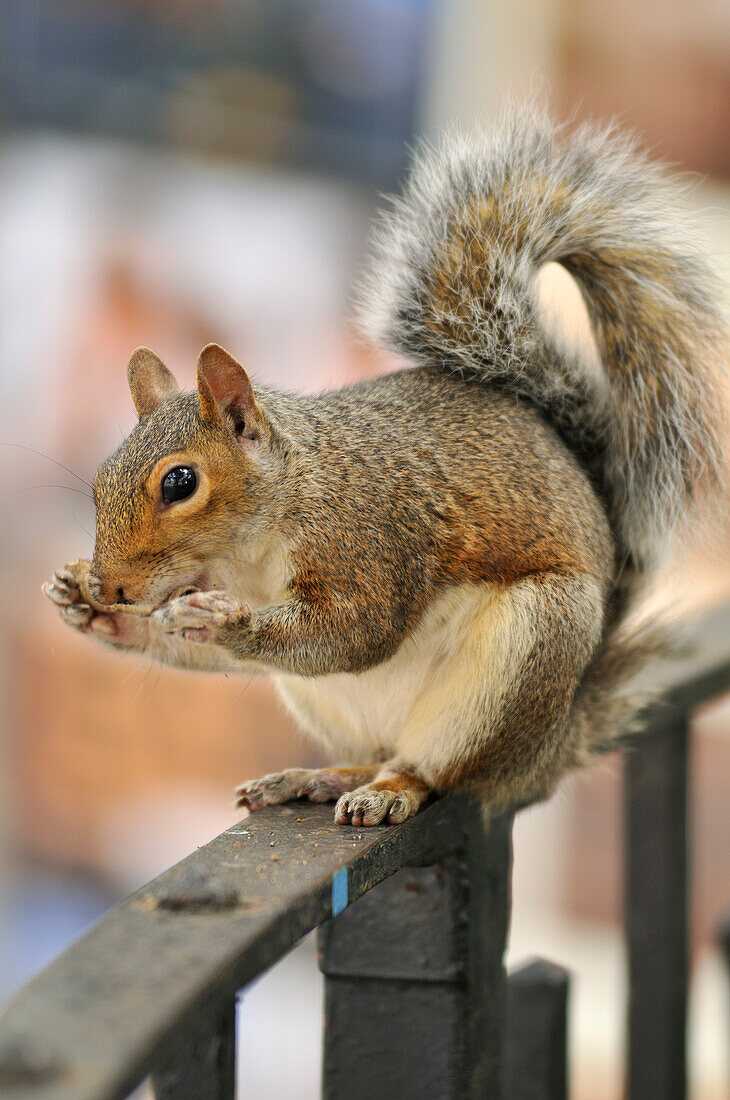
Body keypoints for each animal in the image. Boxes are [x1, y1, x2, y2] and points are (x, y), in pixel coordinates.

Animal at [42, 109, 725, 827]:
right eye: (99, 481)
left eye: (180, 482)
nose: (110, 585)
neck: (254, 545)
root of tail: (548, 749)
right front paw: (88, 608)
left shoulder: (370, 538)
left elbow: (357, 630)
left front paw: (227, 622)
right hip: (331, 704)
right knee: (371, 753)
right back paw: (316, 777)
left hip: (526, 655)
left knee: (433, 769)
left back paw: (393, 789)